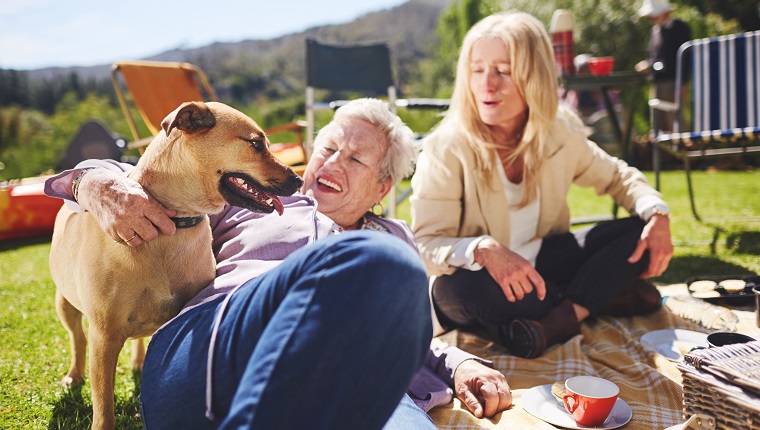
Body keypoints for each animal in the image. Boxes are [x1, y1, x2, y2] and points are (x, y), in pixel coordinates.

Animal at [46, 101, 302, 430]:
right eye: (256, 144)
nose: (298, 180)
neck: (175, 226)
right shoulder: (103, 337)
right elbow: (103, 406)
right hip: (65, 305)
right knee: (77, 340)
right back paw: (74, 374)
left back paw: (138, 362)